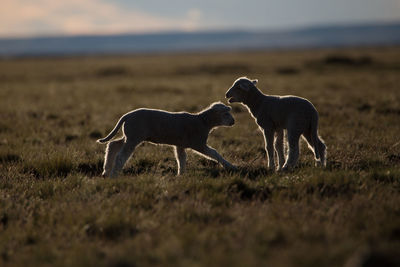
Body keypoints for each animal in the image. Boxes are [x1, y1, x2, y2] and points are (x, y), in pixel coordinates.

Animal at [97, 102, 236, 178]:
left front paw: (181, 175)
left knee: (112, 144)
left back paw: (106, 171)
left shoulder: (180, 144)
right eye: (226, 114)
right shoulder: (198, 143)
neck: (203, 121)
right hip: (134, 136)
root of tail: (127, 115)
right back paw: (113, 175)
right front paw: (230, 166)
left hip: (130, 135)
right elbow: (214, 153)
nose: (233, 122)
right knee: (121, 155)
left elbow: (181, 159)